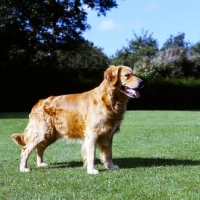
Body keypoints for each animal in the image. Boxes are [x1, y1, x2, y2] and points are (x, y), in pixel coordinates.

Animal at [11, 65, 143, 173]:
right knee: (25, 150)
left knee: (40, 148)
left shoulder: (108, 134)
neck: (110, 100)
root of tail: (38, 103)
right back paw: (23, 168)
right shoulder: (92, 134)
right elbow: (91, 155)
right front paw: (92, 170)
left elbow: (108, 153)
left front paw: (110, 167)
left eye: (135, 74)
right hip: (40, 133)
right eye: (127, 75)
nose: (142, 82)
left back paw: (41, 164)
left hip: (50, 135)